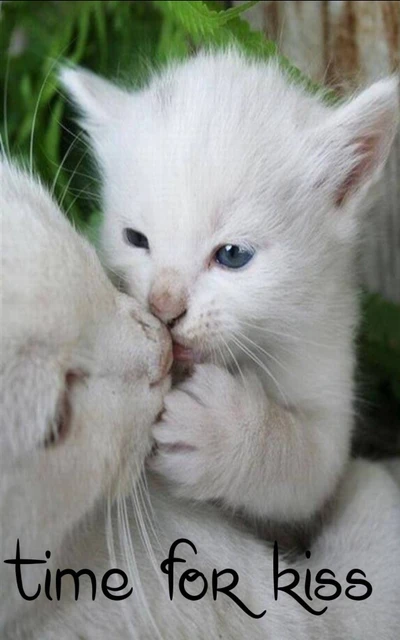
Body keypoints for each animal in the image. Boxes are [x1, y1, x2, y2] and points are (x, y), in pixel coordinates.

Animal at [61, 48, 398, 520]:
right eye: (135, 239)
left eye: (233, 255)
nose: (163, 307)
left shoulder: (329, 367)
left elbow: (306, 464)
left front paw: (225, 431)